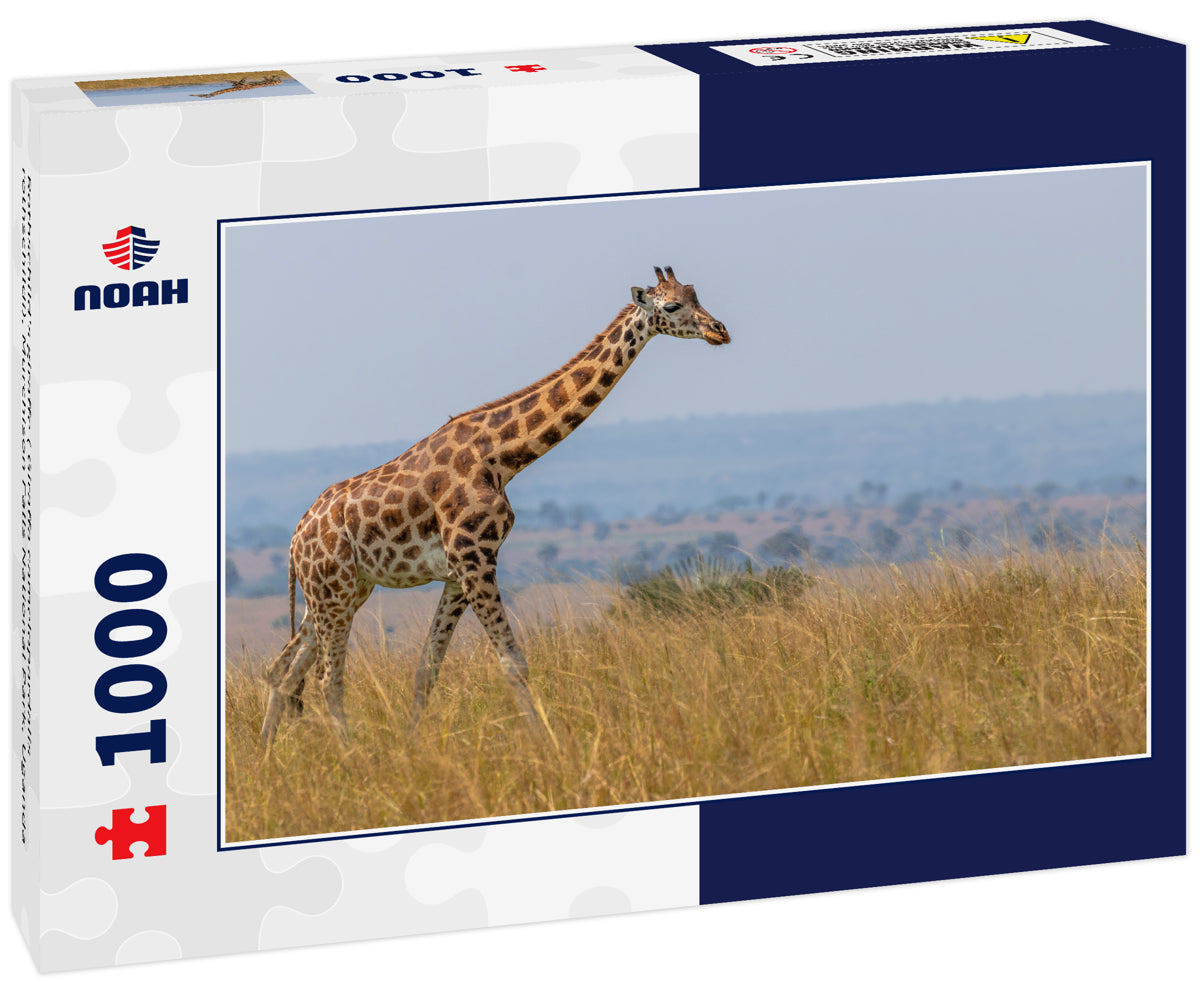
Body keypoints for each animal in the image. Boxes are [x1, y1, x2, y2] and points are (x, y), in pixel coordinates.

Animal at [259, 266, 730, 747]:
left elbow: (428, 669)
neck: (502, 456)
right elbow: (512, 661)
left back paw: (268, 755)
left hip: (343, 591)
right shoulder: (475, 558)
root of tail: (294, 541)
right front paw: (547, 741)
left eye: (696, 295)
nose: (720, 331)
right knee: (325, 678)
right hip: (332, 591)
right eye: (671, 305)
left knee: (283, 670)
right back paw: (350, 753)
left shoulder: (457, 572)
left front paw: (413, 745)